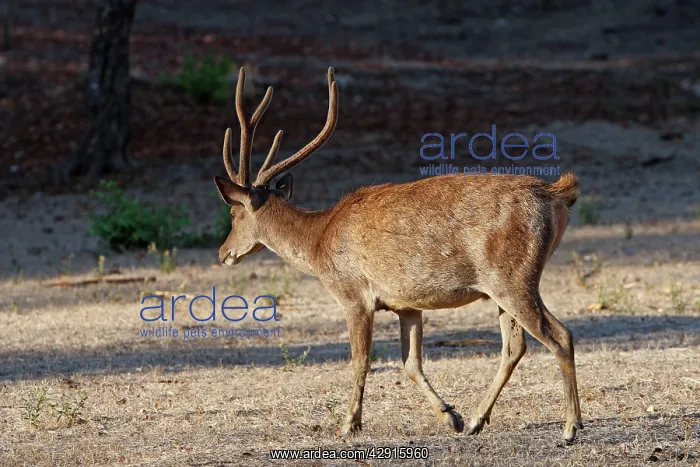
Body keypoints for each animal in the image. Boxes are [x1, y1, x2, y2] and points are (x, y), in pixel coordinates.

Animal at [213, 66, 584, 442]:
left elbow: (361, 360)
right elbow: (411, 363)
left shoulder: (353, 295)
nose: (223, 252)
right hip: (502, 287)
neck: (319, 242)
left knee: (559, 336)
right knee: (514, 346)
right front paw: (451, 416)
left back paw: (571, 426)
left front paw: (349, 424)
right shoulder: (407, 303)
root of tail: (555, 195)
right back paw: (477, 420)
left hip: (513, 277)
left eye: (233, 213)